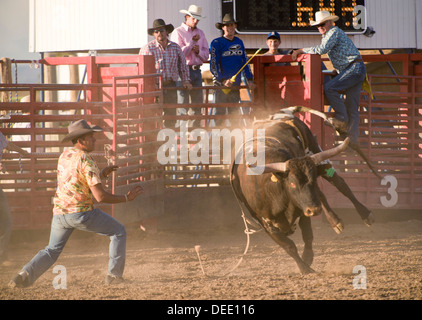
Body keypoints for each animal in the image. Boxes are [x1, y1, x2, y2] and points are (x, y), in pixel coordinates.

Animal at [231, 106, 380, 274]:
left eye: (313, 179)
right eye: (292, 184)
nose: (314, 210)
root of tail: (282, 112)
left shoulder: (303, 211)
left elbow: (308, 236)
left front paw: (307, 258)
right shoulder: (267, 224)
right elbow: (289, 246)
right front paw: (304, 267)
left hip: (317, 154)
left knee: (339, 184)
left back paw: (365, 214)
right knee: (321, 195)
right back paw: (334, 221)